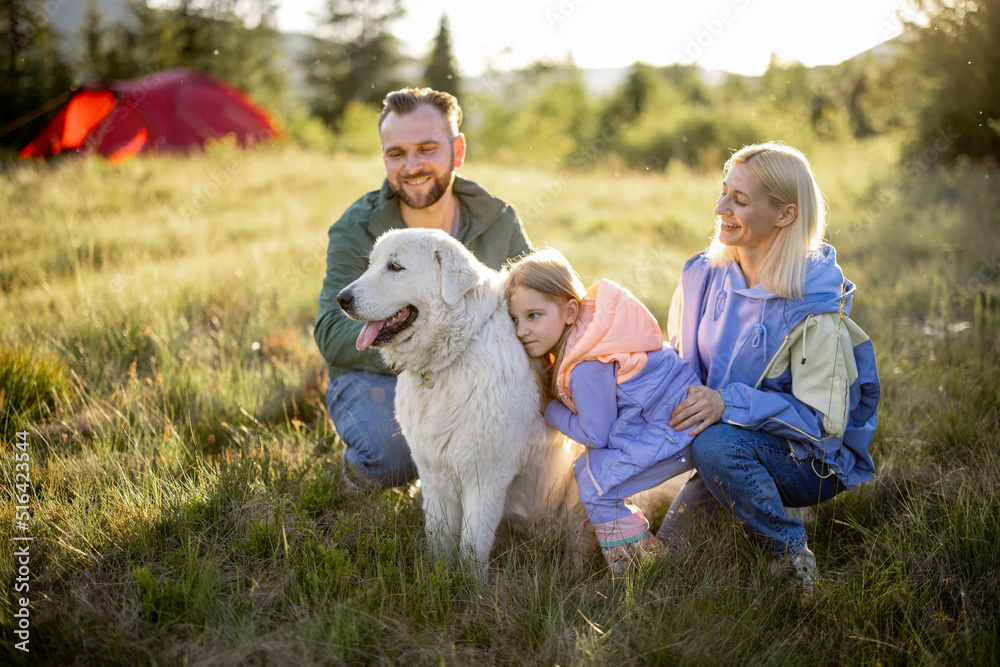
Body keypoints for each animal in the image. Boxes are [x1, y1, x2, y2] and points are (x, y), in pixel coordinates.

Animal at [338, 228, 584, 580]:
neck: (448, 361)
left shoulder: (485, 478)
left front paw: (471, 590)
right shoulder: (434, 474)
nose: (341, 299)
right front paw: (438, 580)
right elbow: (439, 538)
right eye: (370, 265)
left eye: (395, 267)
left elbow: (471, 547)